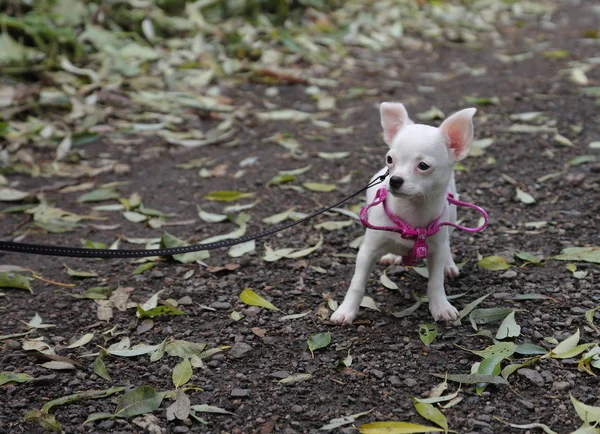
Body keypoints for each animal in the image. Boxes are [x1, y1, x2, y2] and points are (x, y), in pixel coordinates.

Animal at [330, 103, 476, 324]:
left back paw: (449, 265)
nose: (394, 180)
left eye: (423, 166)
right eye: (390, 159)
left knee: (447, 244)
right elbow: (357, 283)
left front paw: (441, 307)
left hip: (450, 218)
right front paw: (346, 310)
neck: (411, 213)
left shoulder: (436, 248)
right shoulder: (367, 251)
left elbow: (436, 282)